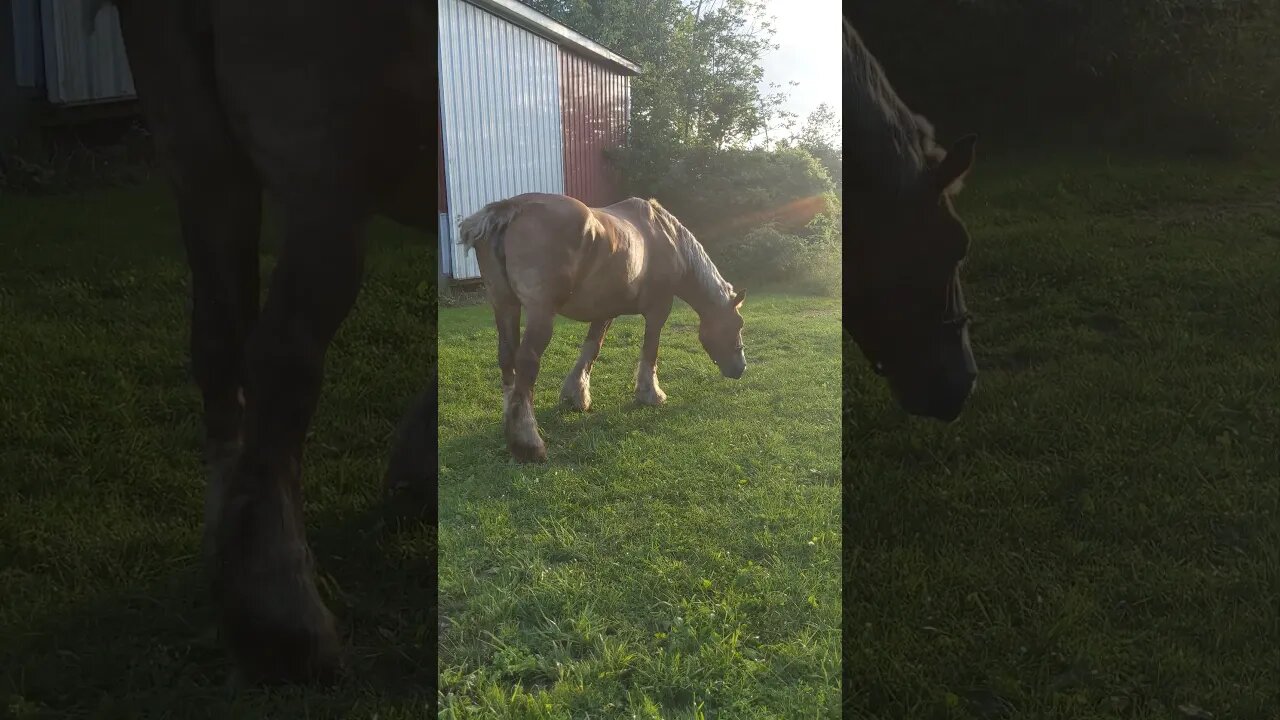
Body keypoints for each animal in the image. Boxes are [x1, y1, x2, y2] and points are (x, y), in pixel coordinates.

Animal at [106, 0, 435, 681]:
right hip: (326, 186)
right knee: (282, 355)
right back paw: (284, 618)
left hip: (199, 158)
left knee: (217, 341)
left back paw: (227, 557)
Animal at [458, 192, 747, 458]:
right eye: (738, 323)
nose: (741, 368)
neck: (666, 236)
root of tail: (512, 208)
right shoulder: (658, 311)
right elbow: (650, 351)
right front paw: (651, 394)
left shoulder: (604, 312)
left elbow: (591, 349)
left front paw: (576, 397)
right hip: (541, 313)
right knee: (527, 361)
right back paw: (530, 443)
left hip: (505, 306)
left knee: (507, 358)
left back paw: (512, 428)